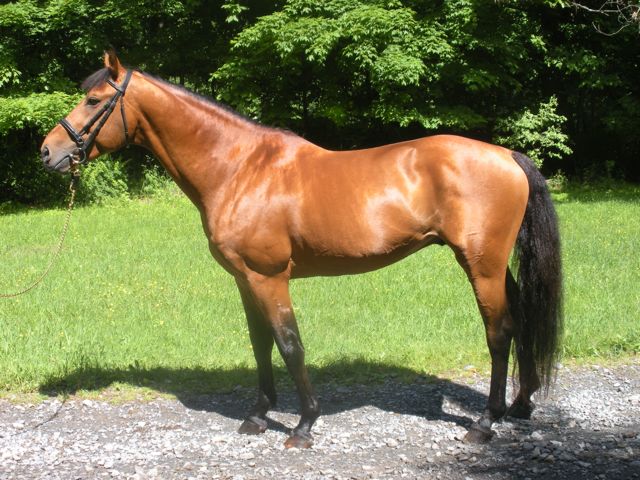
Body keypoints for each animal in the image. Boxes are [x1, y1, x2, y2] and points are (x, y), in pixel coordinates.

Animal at [41, 51, 562, 448]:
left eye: (94, 100)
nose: (48, 152)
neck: (239, 168)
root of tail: (506, 155)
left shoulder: (270, 277)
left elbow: (290, 344)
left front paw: (305, 424)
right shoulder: (245, 279)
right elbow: (261, 345)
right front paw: (257, 416)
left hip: (481, 267)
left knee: (500, 332)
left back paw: (486, 423)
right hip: (495, 266)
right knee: (520, 323)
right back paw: (520, 405)